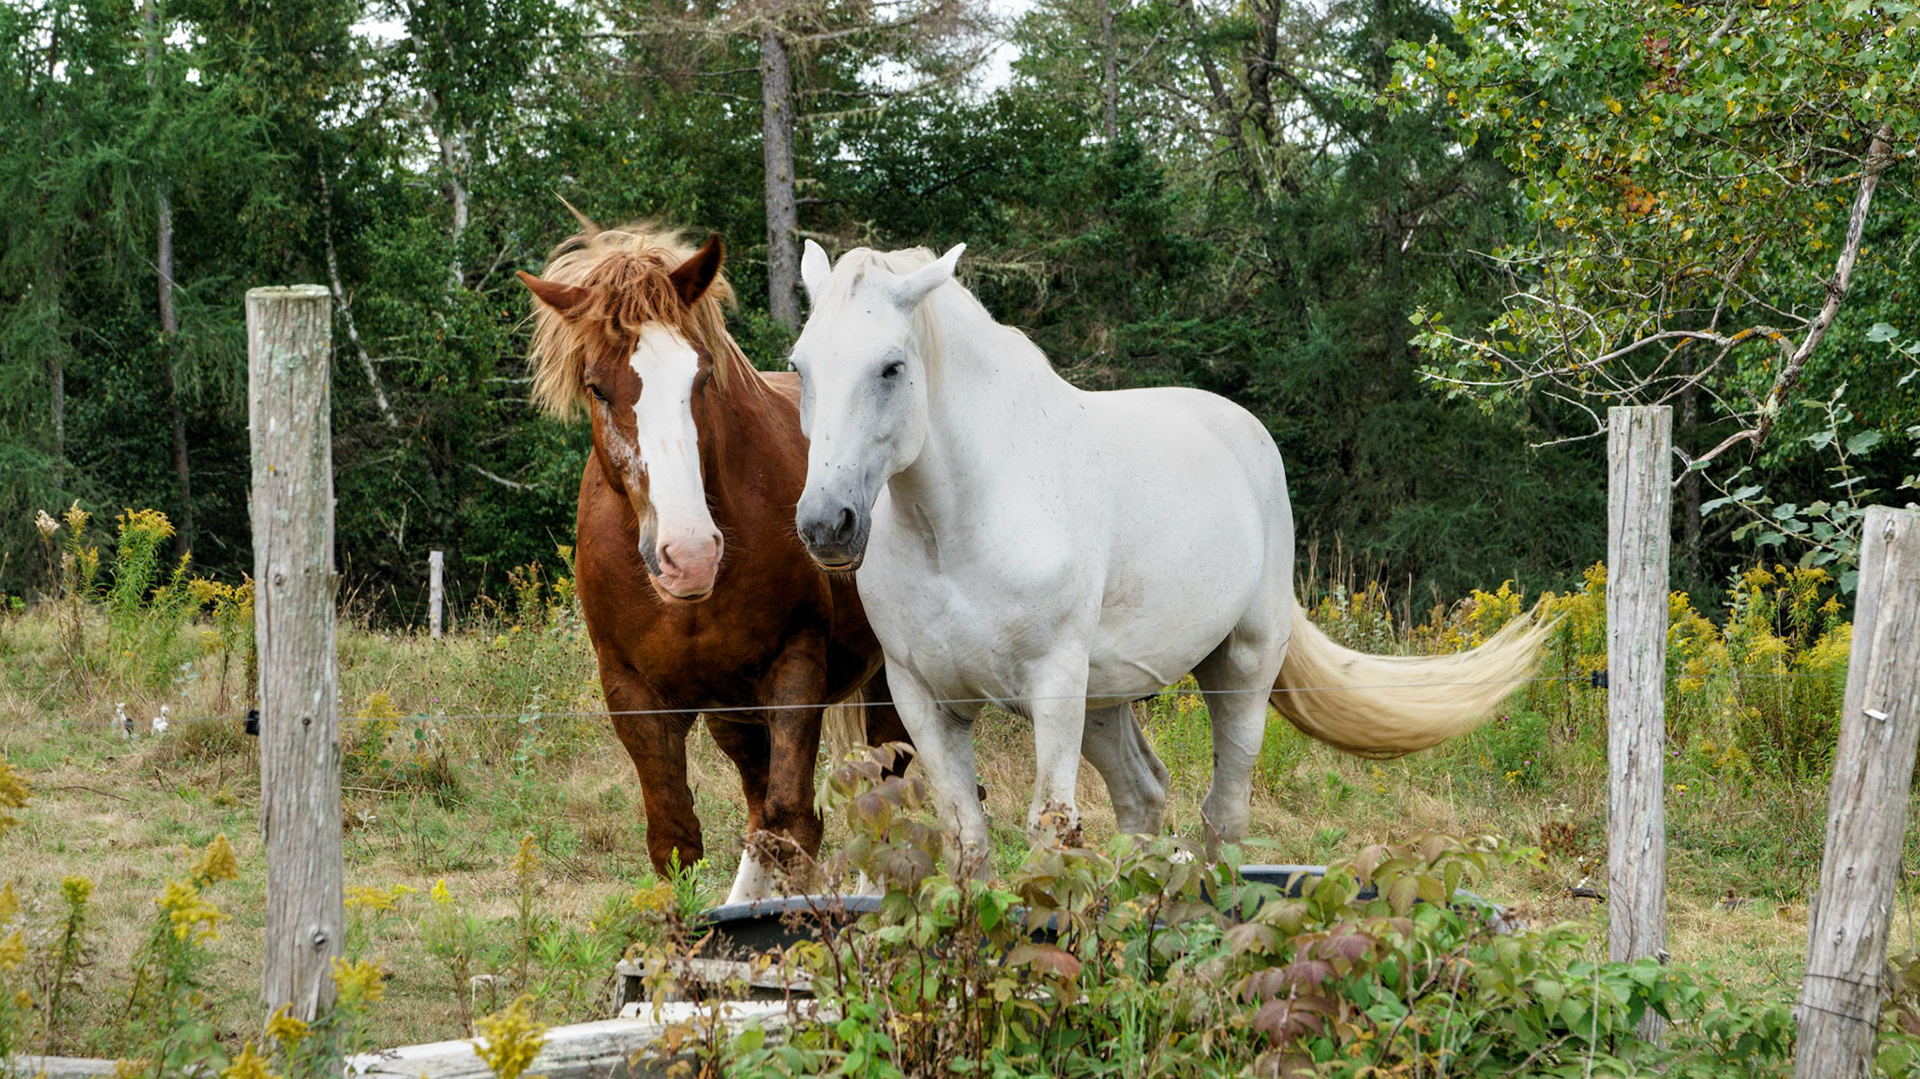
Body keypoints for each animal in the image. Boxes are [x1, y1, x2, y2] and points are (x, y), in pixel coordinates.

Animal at [518, 221, 914, 903]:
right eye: (597, 386)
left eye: (701, 376)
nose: (691, 556)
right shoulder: (633, 692)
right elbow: (676, 839)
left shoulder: (795, 671)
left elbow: (789, 821)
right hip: (736, 713)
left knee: (884, 797)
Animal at [787, 240, 1549, 868]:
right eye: (800, 366)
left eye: (891, 366)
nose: (826, 524)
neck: (955, 528)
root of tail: (1246, 434)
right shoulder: (923, 699)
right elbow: (967, 836)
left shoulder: (1052, 684)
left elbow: (1049, 825)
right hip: (1106, 698)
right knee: (1144, 797)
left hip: (1241, 666)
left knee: (1224, 813)